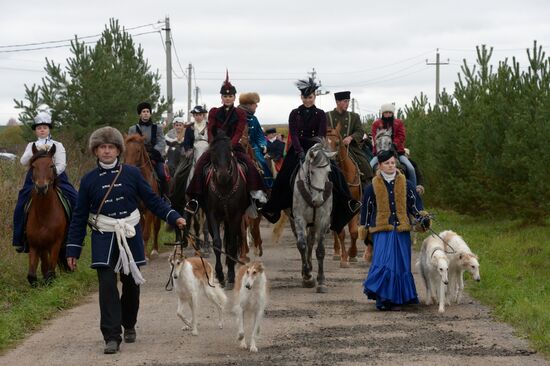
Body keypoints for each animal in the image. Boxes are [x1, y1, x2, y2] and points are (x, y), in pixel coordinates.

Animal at [24, 144, 69, 284]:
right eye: (34, 166)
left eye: (51, 165)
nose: (41, 188)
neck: (44, 214)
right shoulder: (35, 244)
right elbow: (32, 276)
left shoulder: (56, 244)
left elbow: (50, 274)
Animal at [206, 132, 249, 288]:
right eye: (213, 150)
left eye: (230, 149)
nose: (223, 175)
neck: (224, 187)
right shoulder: (212, 215)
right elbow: (217, 244)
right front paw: (219, 274)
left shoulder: (236, 216)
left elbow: (231, 245)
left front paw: (230, 275)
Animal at [288, 142, 336, 294]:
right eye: (312, 172)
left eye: (328, 172)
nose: (318, 200)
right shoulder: (299, 219)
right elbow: (301, 245)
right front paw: (308, 277)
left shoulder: (323, 220)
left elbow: (320, 250)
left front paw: (321, 281)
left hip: (314, 224)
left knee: (311, 242)